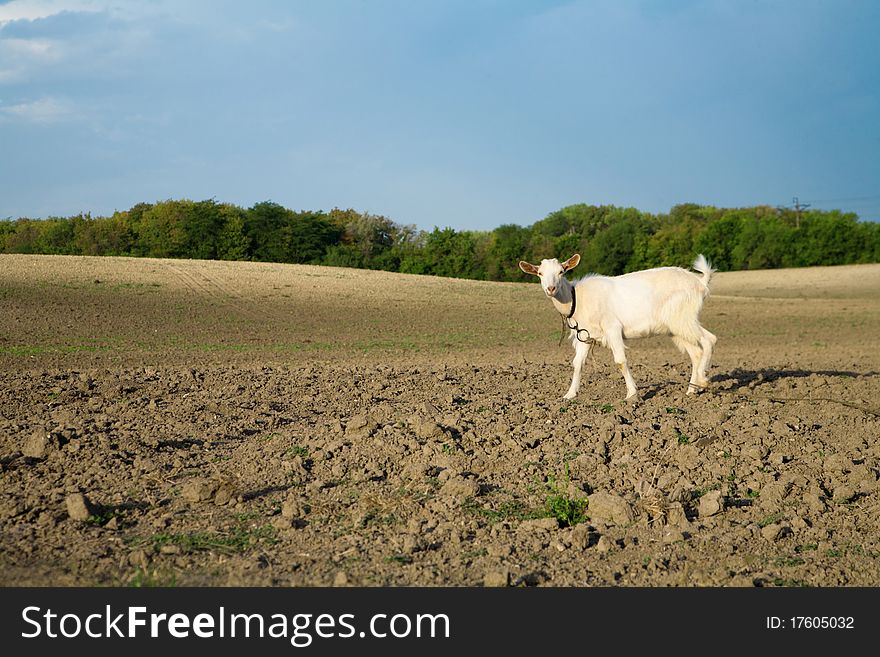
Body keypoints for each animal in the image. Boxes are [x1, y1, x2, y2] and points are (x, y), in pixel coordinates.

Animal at [516, 254, 716, 400]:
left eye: (561, 272)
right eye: (540, 273)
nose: (550, 289)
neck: (577, 298)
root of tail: (700, 283)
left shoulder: (612, 328)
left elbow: (620, 361)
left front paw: (632, 395)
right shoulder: (585, 336)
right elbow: (577, 363)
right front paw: (569, 394)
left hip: (684, 318)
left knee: (709, 340)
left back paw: (703, 380)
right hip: (676, 327)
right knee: (695, 353)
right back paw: (692, 390)